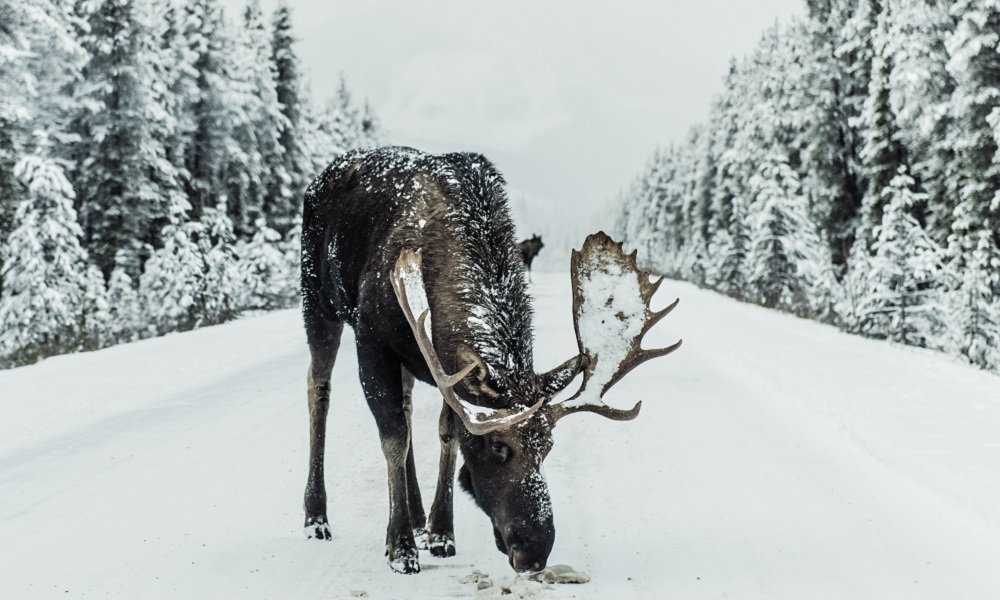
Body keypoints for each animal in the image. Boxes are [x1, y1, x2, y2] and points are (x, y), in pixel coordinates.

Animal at [300, 144, 684, 572]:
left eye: (548, 446)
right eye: (499, 447)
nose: (535, 551)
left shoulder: (445, 367)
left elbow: (447, 433)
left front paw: (440, 532)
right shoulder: (371, 338)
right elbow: (394, 437)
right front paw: (400, 547)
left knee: (407, 403)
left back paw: (417, 516)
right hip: (317, 300)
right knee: (319, 389)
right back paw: (316, 517)